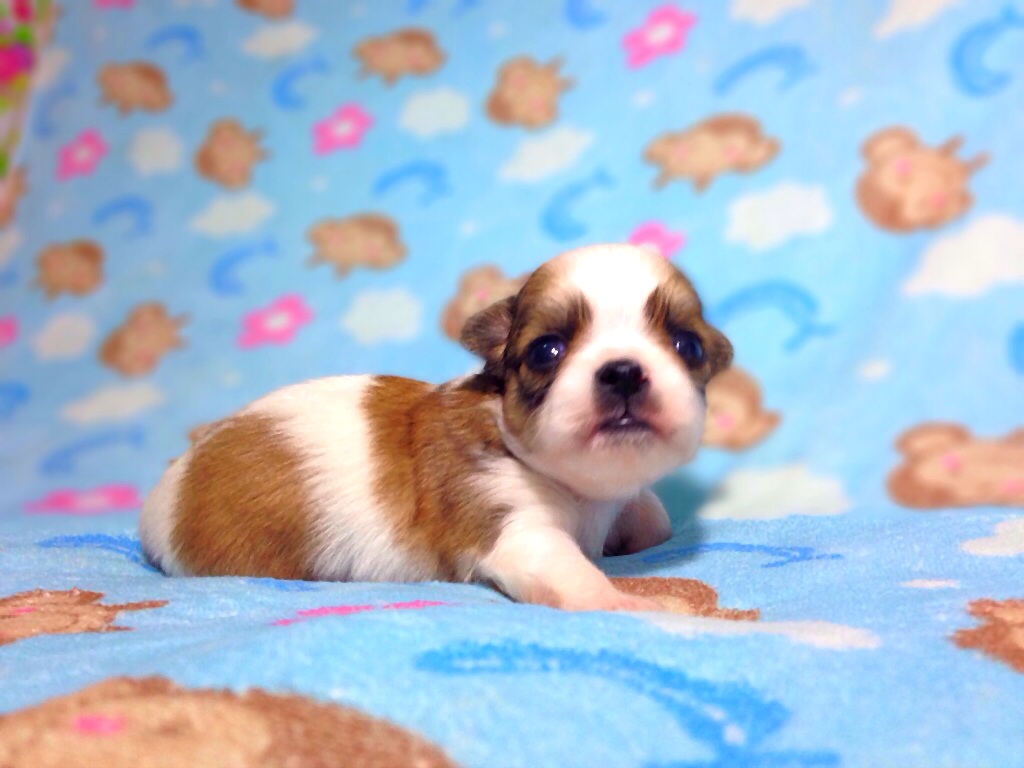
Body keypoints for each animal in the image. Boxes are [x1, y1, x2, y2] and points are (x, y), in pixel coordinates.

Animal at [140, 244, 732, 612]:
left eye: (688, 346)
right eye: (547, 350)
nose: (624, 371)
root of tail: (167, 490)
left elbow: (652, 515)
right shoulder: (513, 527)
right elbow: (572, 571)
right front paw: (624, 601)